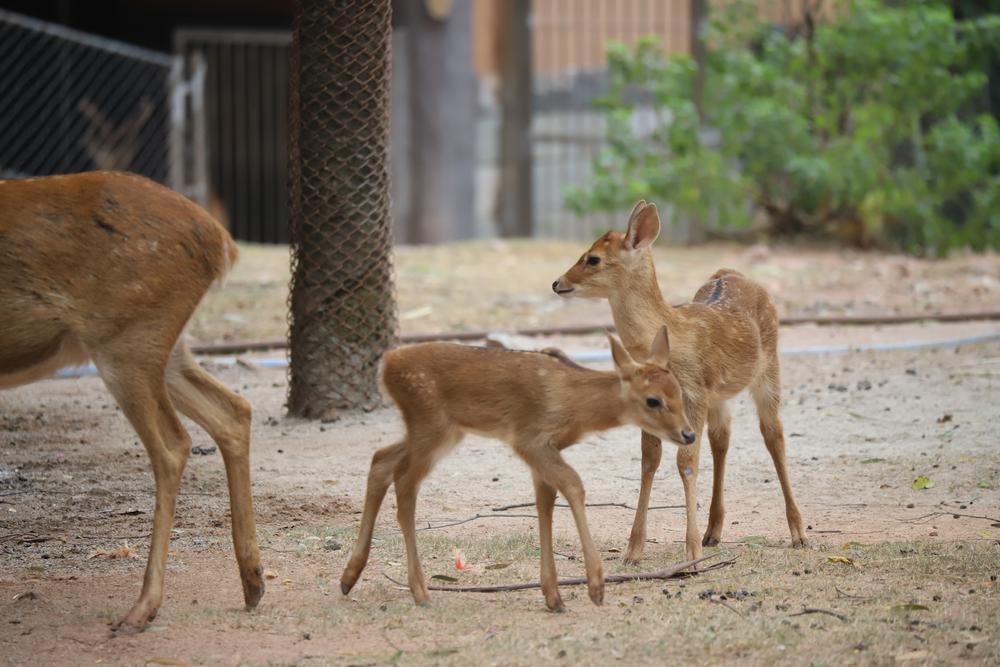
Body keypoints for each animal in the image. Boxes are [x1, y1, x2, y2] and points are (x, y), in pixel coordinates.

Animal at [0, 171, 262, 632]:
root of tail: (221, 242)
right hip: (163, 345)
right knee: (232, 410)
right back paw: (253, 584)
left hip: (127, 335)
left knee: (172, 444)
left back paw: (142, 607)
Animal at [342, 332, 696, 612]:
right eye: (653, 400)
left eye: (679, 392)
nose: (688, 434)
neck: (576, 404)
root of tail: (387, 364)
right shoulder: (529, 439)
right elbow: (574, 485)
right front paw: (596, 587)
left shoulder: (545, 449)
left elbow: (545, 502)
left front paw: (553, 596)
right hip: (431, 422)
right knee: (404, 483)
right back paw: (420, 591)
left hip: (435, 429)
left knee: (381, 460)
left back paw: (349, 578)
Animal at [556, 202, 804, 564]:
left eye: (593, 258)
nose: (557, 283)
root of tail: (733, 272)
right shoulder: (657, 401)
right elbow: (649, 460)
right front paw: (633, 550)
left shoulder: (693, 392)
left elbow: (685, 461)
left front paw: (691, 551)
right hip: (720, 394)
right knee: (721, 438)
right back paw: (713, 531)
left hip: (769, 368)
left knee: (773, 433)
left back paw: (799, 532)